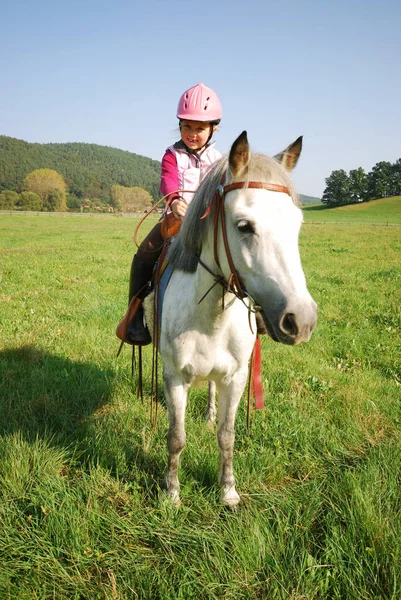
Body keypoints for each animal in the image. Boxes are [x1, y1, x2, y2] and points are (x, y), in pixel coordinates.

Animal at [155, 132, 314, 506]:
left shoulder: (237, 377)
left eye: (297, 225)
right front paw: (172, 492)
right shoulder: (175, 378)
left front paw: (227, 490)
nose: (301, 321)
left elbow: (227, 435)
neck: (210, 317)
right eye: (244, 225)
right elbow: (176, 436)